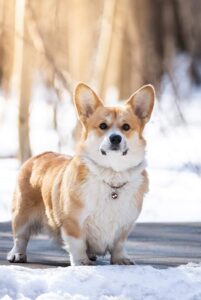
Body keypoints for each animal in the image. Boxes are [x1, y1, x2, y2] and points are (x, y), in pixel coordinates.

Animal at [7, 82, 155, 264]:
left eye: (126, 127)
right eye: (103, 126)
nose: (115, 138)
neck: (112, 174)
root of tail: (38, 156)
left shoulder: (124, 225)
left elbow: (119, 244)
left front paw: (120, 259)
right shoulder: (73, 221)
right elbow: (77, 243)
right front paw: (81, 262)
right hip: (21, 214)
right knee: (20, 237)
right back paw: (17, 254)